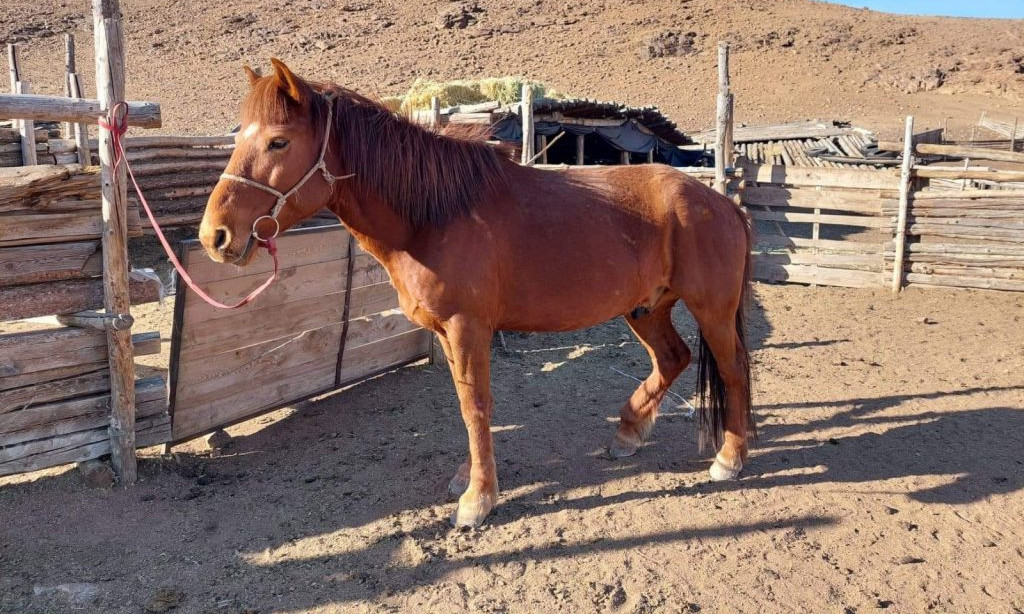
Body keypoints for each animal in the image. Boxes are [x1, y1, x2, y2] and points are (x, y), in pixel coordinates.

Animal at [199, 58, 757, 528]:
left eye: (278, 142)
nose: (215, 236)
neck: (434, 215)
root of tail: (722, 203)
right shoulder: (447, 332)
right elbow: (465, 403)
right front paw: (468, 480)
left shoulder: (468, 328)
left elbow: (476, 405)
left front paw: (478, 499)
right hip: (646, 308)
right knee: (673, 358)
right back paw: (628, 433)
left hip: (710, 308)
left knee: (732, 369)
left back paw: (729, 459)